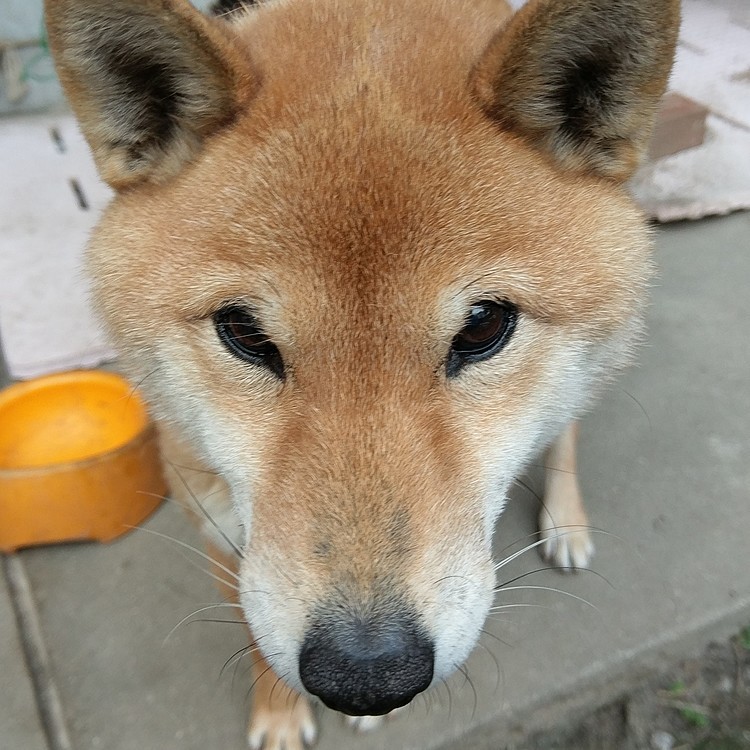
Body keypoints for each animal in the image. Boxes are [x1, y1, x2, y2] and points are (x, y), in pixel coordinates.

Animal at [45, 0, 680, 748]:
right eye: (244, 333)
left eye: (483, 326)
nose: (366, 675)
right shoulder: (217, 520)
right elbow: (257, 634)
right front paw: (279, 713)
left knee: (570, 421)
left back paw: (565, 519)